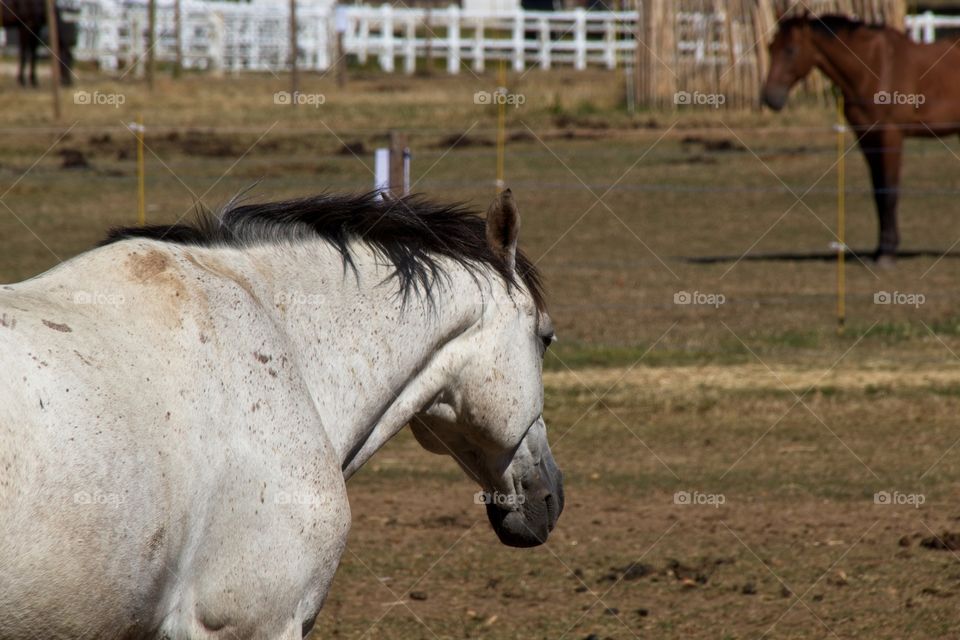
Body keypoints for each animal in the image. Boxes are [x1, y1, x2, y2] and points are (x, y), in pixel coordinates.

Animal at [762, 14, 960, 264]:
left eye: (790, 50)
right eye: (771, 47)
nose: (770, 98)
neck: (874, 68)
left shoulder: (890, 137)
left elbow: (889, 191)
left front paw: (887, 253)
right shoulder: (867, 138)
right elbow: (878, 191)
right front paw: (880, 249)